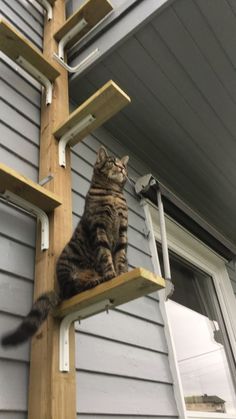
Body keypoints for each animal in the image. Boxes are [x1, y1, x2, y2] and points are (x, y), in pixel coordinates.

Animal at [1, 148, 129, 348]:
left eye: (123, 164)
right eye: (112, 162)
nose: (122, 168)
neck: (113, 193)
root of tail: (60, 287)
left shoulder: (122, 229)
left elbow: (120, 255)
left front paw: (122, 273)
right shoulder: (98, 227)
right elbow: (105, 254)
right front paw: (110, 274)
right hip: (69, 272)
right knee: (73, 289)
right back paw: (95, 281)